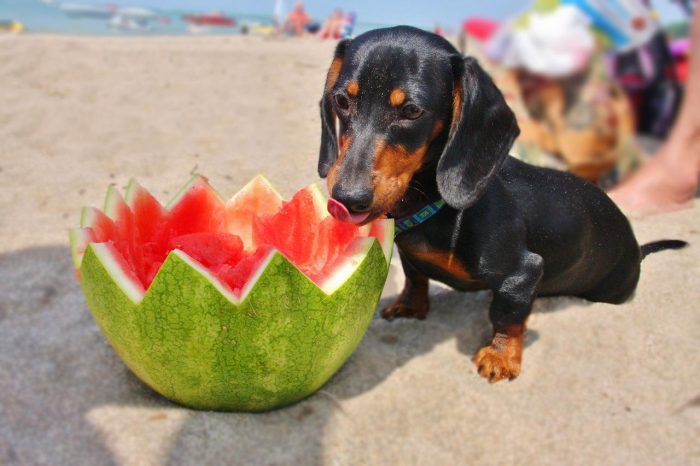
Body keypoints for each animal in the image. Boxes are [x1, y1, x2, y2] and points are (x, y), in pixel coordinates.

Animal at [318, 26, 688, 382]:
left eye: (411, 111)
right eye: (341, 101)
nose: (347, 198)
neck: (436, 204)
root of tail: (635, 247)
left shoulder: (523, 272)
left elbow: (507, 315)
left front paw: (501, 356)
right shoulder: (410, 254)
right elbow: (414, 276)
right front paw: (410, 305)